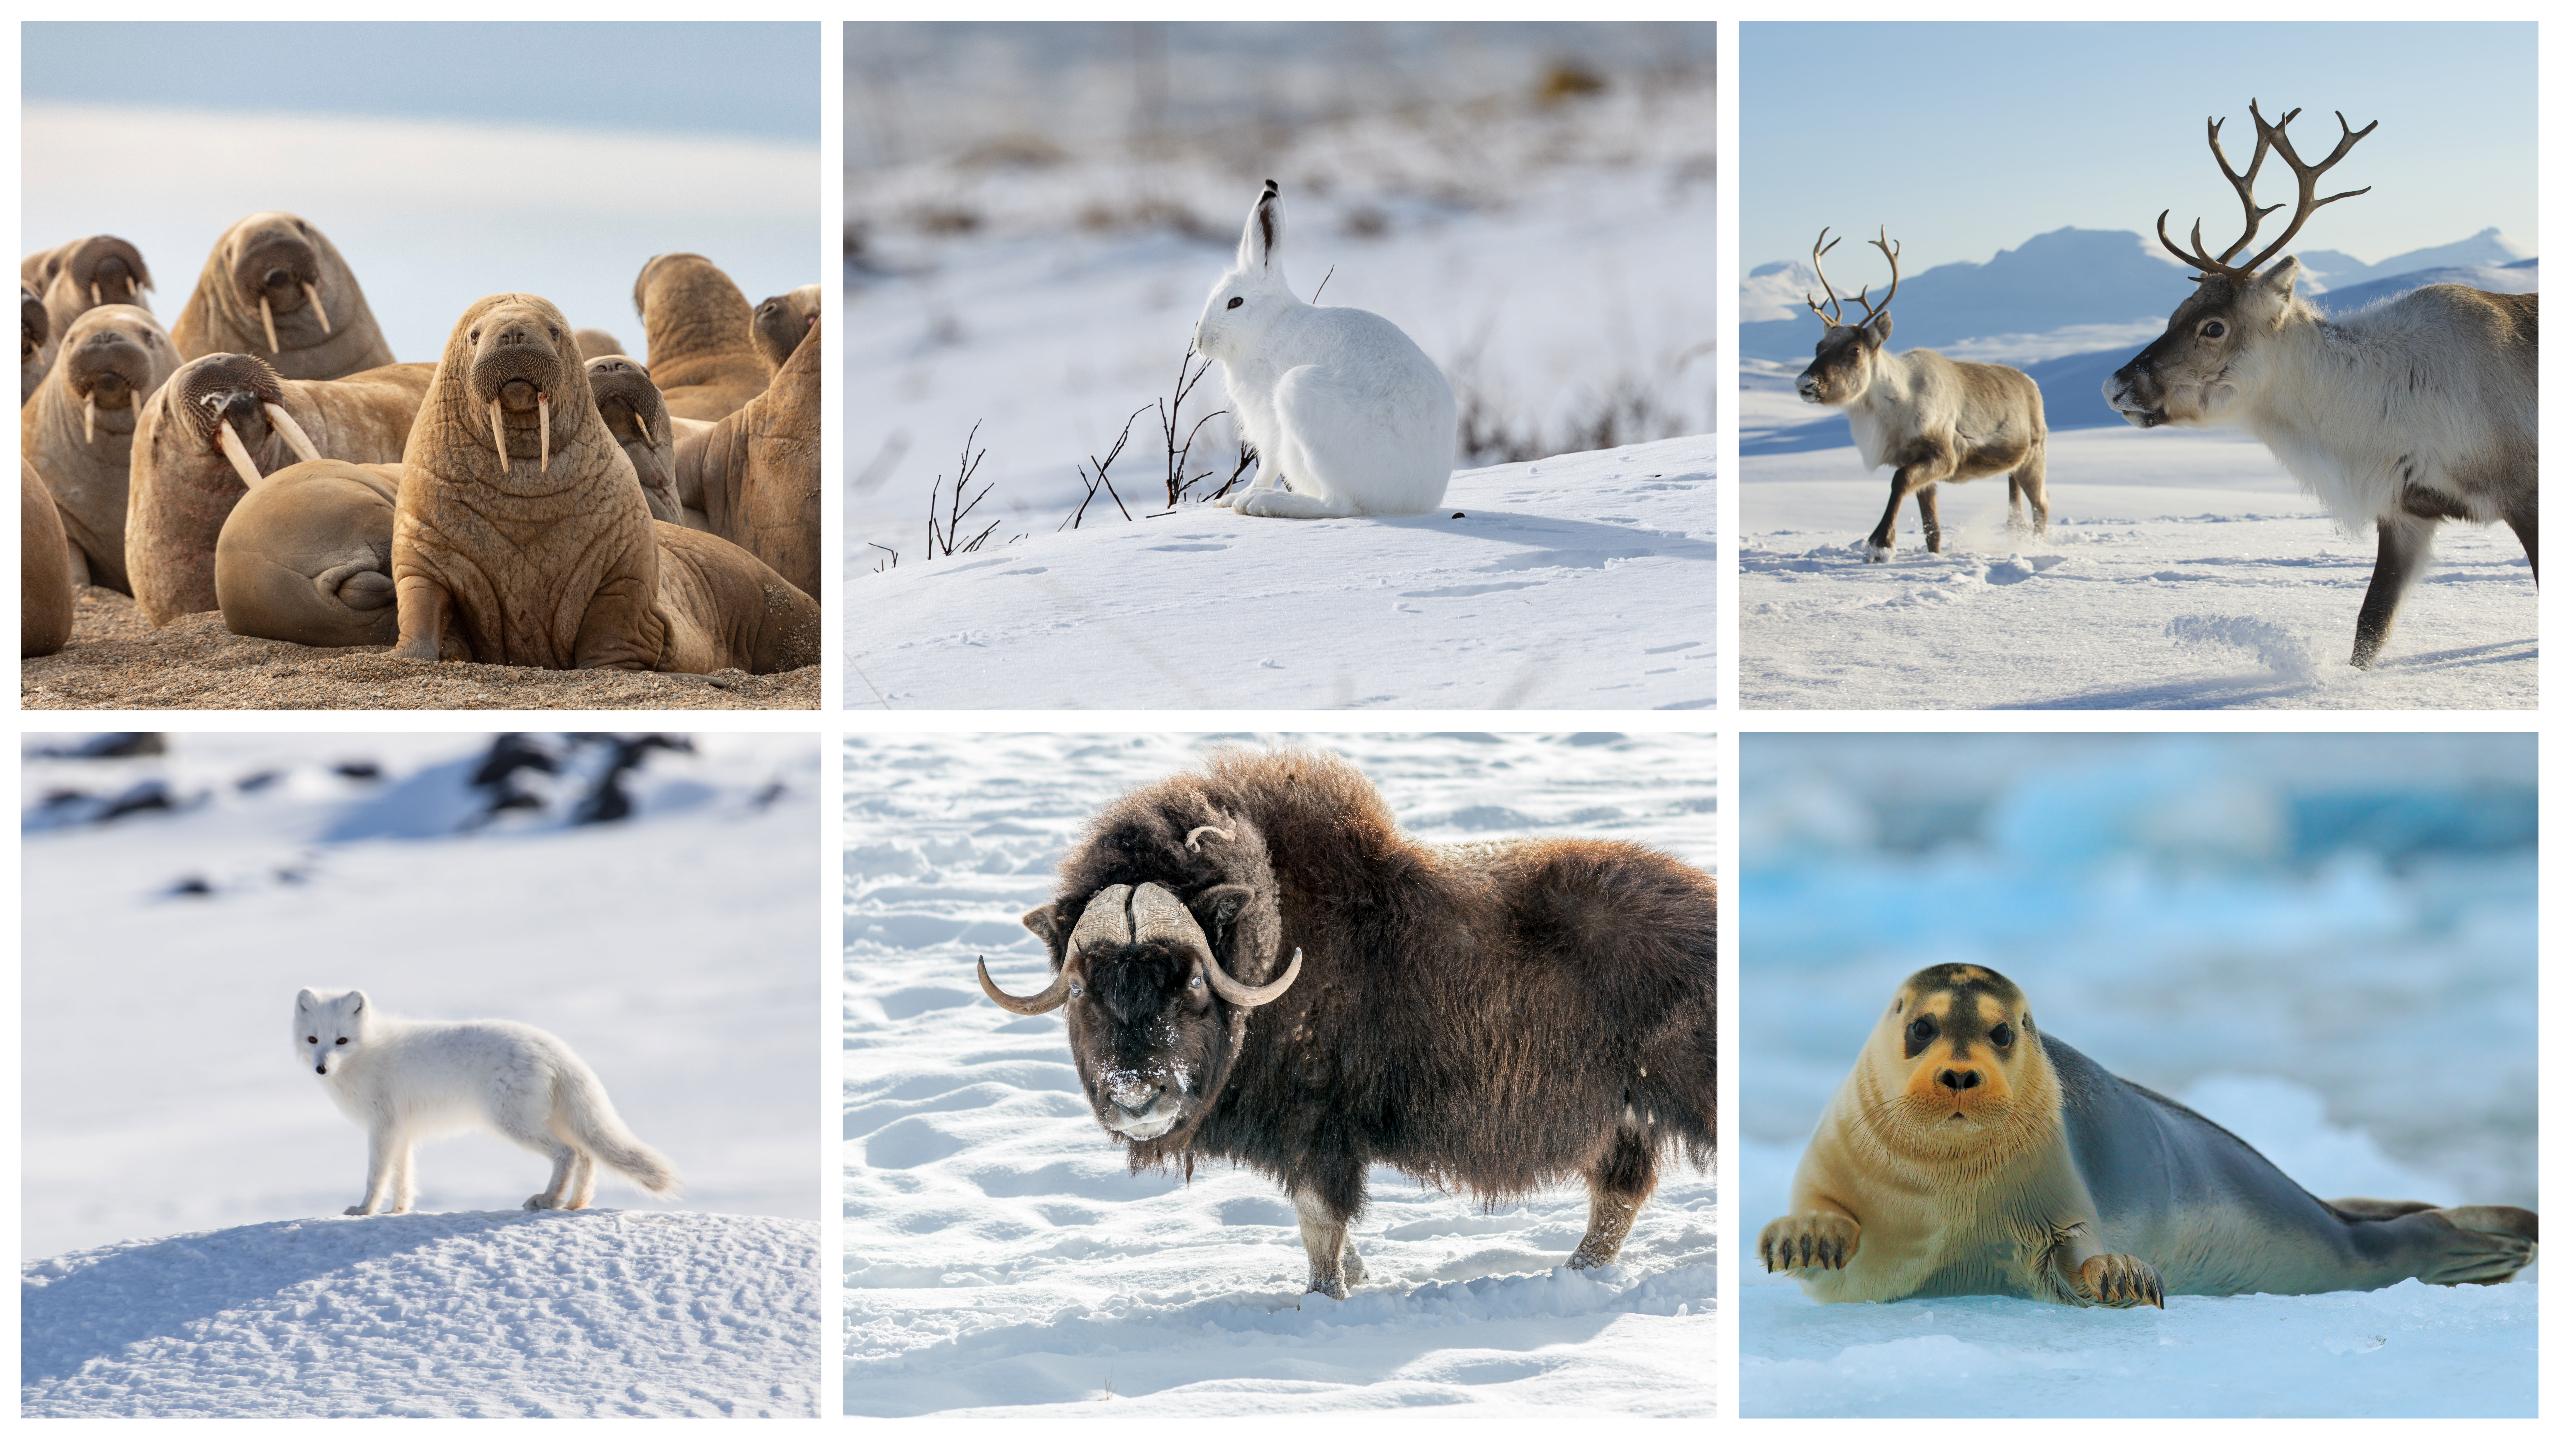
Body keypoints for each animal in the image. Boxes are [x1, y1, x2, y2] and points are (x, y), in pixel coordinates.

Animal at [294, 988, 680, 1216]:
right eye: (313, 1039)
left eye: (342, 1040)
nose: (321, 1067)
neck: (368, 1051)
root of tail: (555, 1049)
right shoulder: (401, 1133)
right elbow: (403, 1177)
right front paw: (398, 1211)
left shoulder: (383, 1128)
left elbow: (376, 1175)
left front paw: (364, 1210)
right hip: (551, 1119)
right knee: (586, 1155)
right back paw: (574, 1204)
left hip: (512, 1123)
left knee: (567, 1153)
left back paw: (548, 1200)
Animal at [1192, 181, 1457, 519]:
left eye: (1235, 302)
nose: (1201, 341)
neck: (1268, 325)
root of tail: (1414, 497)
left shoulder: (1268, 420)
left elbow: (1268, 463)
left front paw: (1240, 496)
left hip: (1301, 395)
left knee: (1340, 504)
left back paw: (1265, 503)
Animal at [1795, 226, 2049, 563]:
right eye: (1818, 347)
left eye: (1855, 349)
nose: (1805, 383)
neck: (1895, 408)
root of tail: (2031, 383)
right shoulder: (1916, 463)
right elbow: (1932, 527)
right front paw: (1928, 554)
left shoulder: (1943, 455)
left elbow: (1899, 481)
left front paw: (1880, 544)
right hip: (2016, 467)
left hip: (2034, 456)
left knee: (2042, 507)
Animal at [2103, 102, 2538, 669]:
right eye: (2175, 313)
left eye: (2213, 327)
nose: (2115, 385)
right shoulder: (2405, 512)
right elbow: (2369, 627)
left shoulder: (2524, 493)